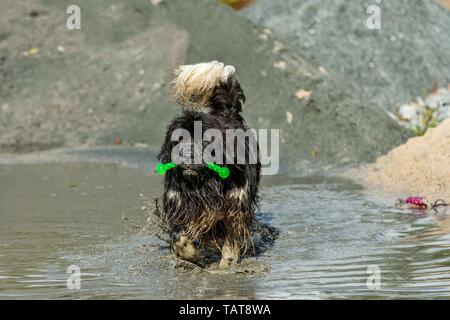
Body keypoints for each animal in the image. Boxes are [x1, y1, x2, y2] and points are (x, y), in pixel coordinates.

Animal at [158, 62, 260, 268]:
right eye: (179, 139)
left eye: (204, 140)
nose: (187, 155)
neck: (202, 184)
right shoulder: (177, 203)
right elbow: (178, 235)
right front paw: (190, 253)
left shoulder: (236, 203)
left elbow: (232, 236)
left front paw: (227, 263)